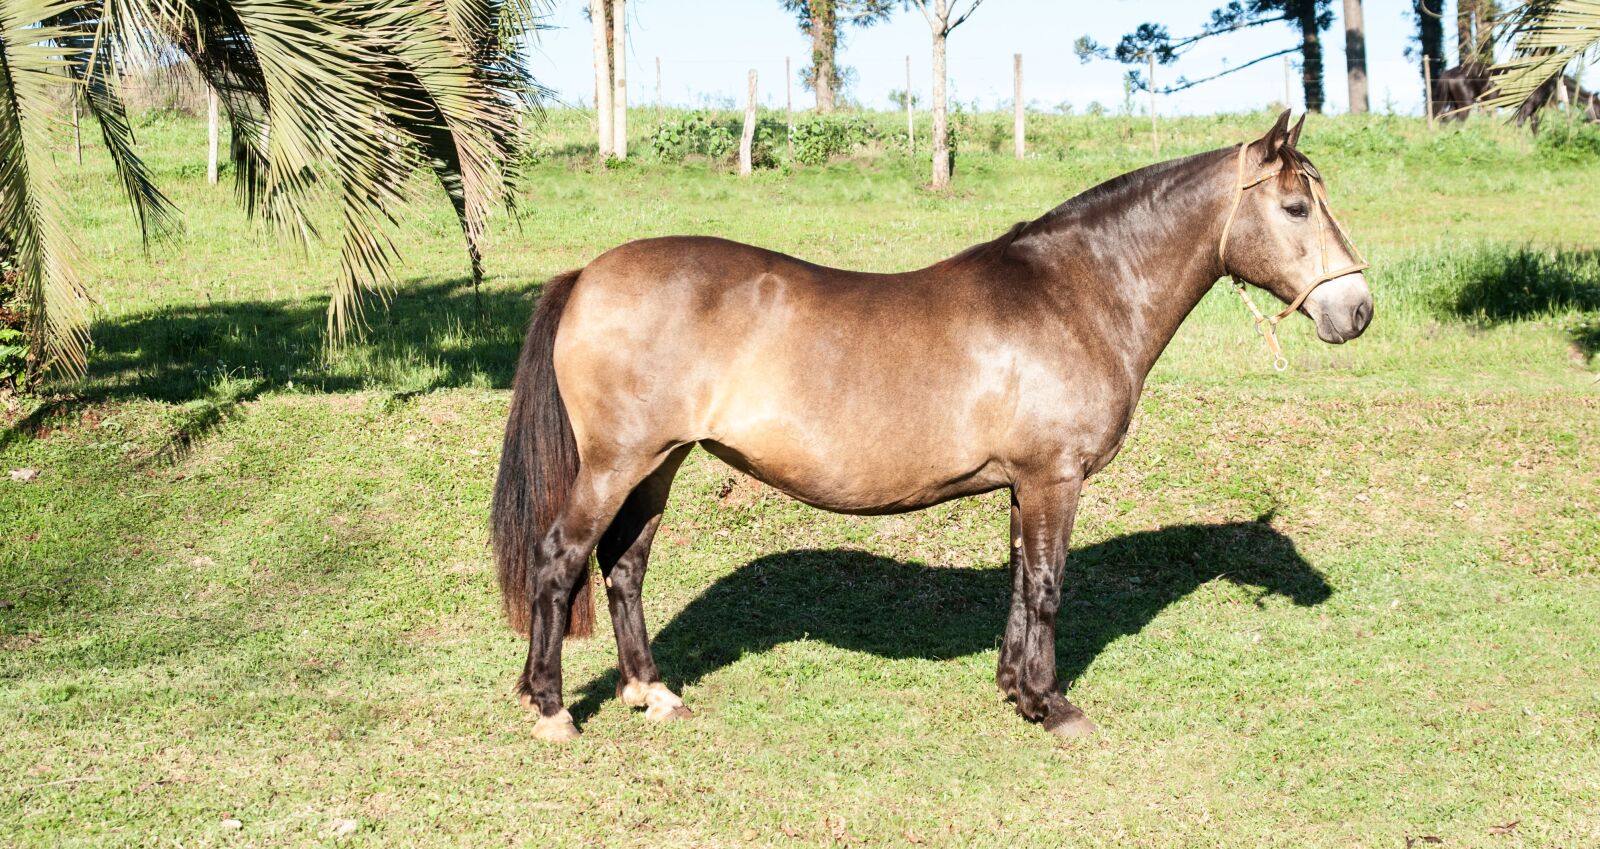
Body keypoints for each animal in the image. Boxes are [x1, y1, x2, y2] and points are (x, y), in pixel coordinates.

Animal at [491, 111, 1374, 742]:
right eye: (1296, 206)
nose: (1357, 310)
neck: (1078, 292)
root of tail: (588, 273)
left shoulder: (1023, 483)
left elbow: (1021, 580)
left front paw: (1015, 689)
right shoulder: (1054, 477)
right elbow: (1048, 585)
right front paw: (1053, 706)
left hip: (660, 463)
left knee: (624, 566)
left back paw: (651, 690)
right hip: (618, 461)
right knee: (560, 558)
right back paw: (551, 708)